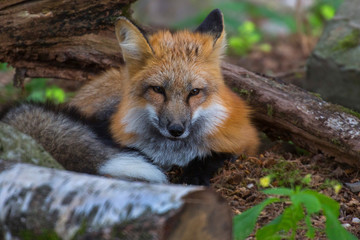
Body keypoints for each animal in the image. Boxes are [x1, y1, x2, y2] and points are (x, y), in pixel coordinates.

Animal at [0, 9, 258, 185]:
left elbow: (214, 156)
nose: (176, 129)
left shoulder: (245, 140)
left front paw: (194, 175)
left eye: (194, 92)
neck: (172, 152)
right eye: (158, 90)